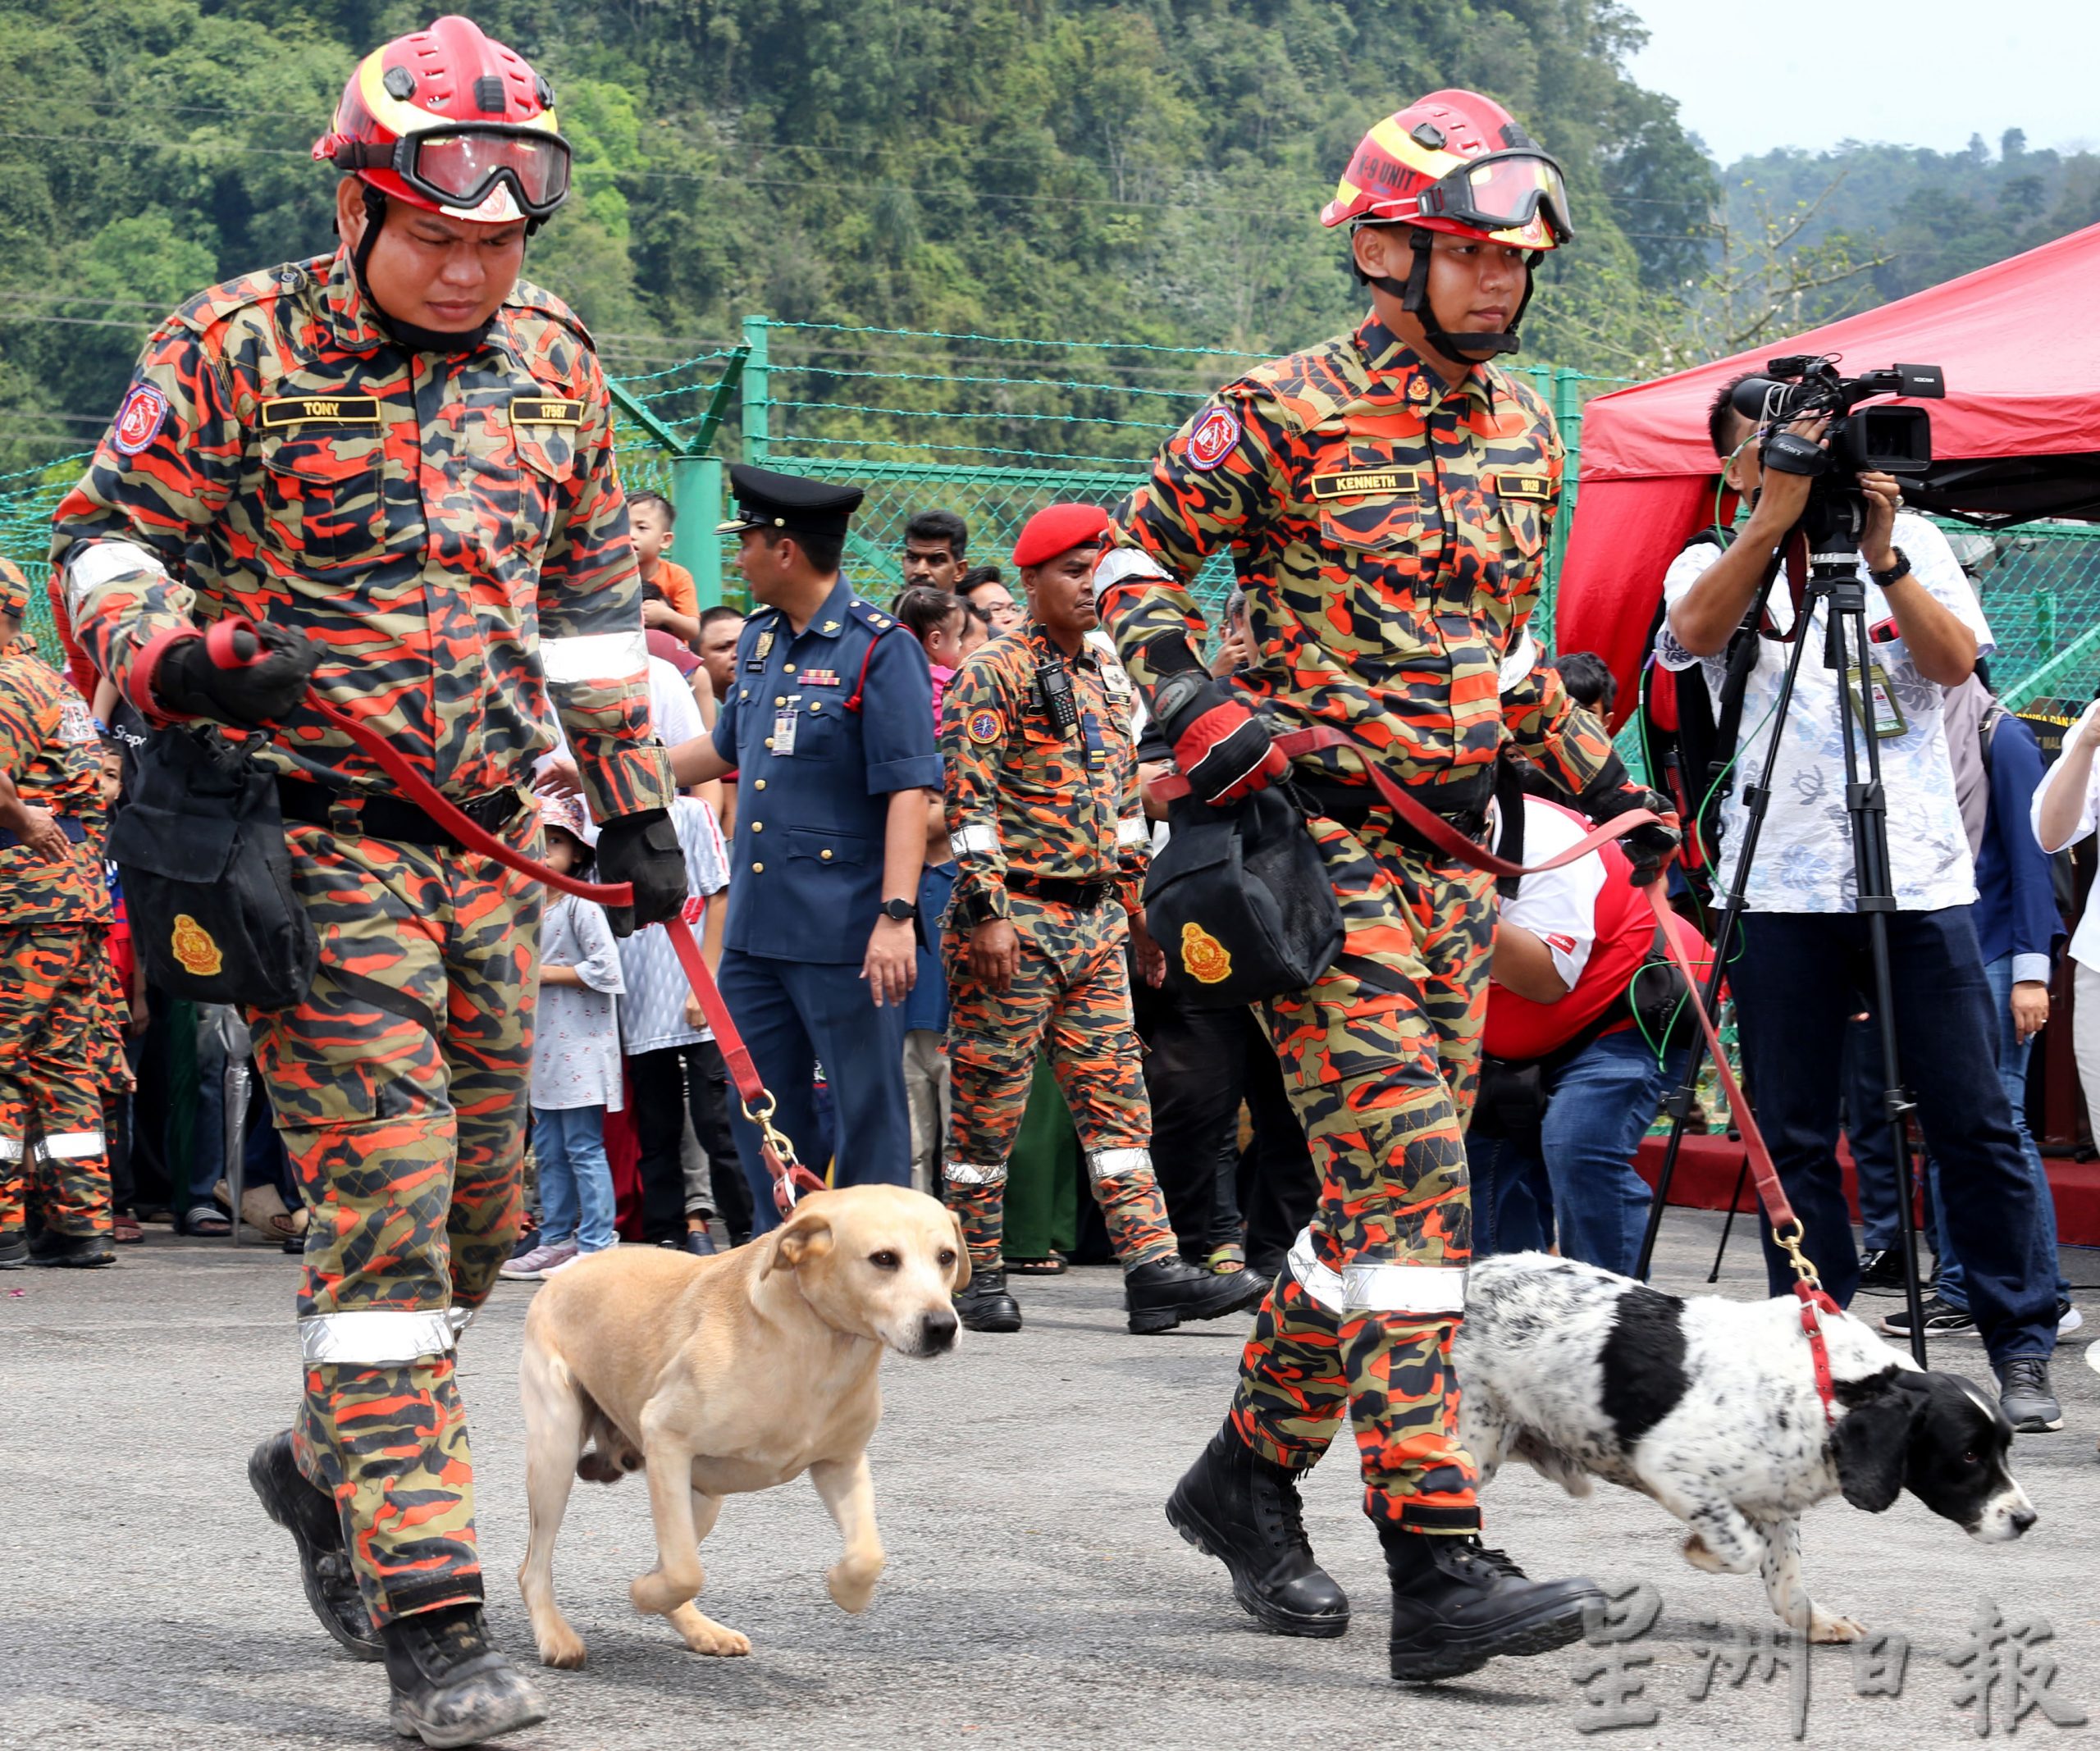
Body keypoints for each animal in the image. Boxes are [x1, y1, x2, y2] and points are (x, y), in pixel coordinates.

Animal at [516, 1183, 966, 1654]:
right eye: (883, 1259)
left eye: (946, 1257)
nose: (942, 1326)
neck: (814, 1345)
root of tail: (574, 1268)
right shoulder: (666, 1440)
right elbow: (684, 1572)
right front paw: (643, 1593)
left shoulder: (840, 1463)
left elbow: (867, 1556)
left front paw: (846, 1589)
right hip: (555, 1456)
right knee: (534, 1567)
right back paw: (556, 1635)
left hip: (700, 1497)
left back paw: (702, 1631)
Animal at [1461, 1259, 2033, 1637]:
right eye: (1969, 1455)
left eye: (2004, 1449)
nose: (2027, 1520)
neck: (1827, 1387)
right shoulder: (1673, 1468)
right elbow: (1743, 1550)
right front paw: (1699, 1550)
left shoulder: (1776, 1502)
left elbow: (1787, 1583)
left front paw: (1818, 1622)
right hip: (1476, 1444)